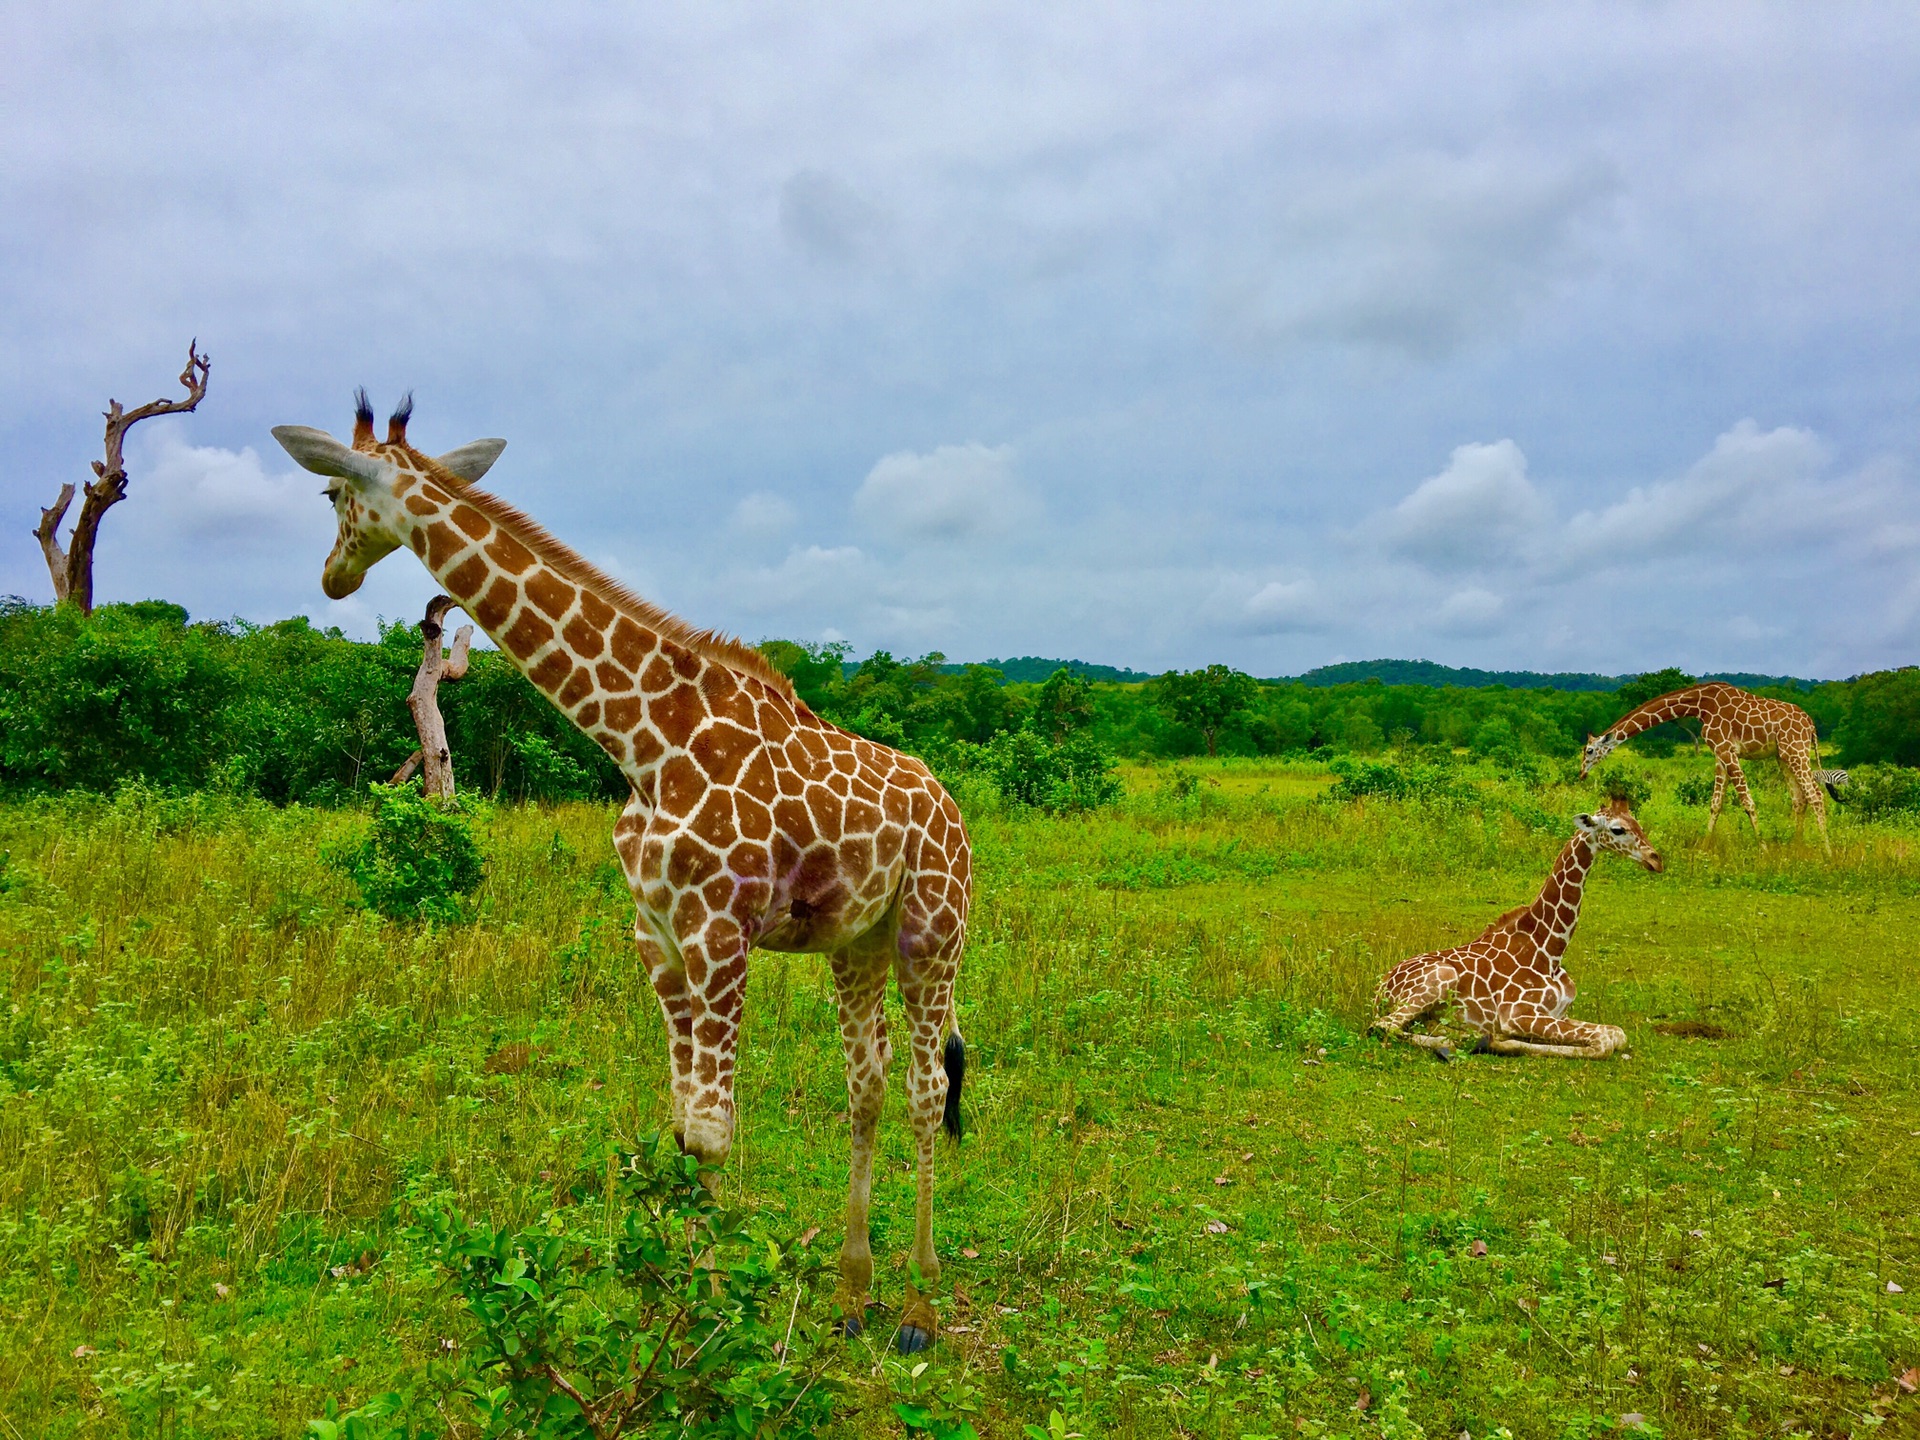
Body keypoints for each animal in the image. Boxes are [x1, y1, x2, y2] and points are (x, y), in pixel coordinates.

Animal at [270, 391, 967, 1351]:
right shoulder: (659, 938)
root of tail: (952, 805)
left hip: (933, 931)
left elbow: (713, 1132)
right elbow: (684, 1130)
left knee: (927, 1087)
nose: (332, 577)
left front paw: (714, 1328)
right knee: (865, 1083)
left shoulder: (721, 934)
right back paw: (854, 1293)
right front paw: (693, 1304)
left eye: (333, 493)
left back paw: (919, 1308)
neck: (643, 742)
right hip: (855, 940)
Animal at [1367, 806, 1666, 1067]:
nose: (1656, 859)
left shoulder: (1559, 1013)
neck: (1550, 949)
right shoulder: (1518, 1014)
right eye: (1617, 829)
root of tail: (1380, 988)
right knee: (1382, 1026)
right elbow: (1604, 1041)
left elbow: (1617, 1033)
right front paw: (1499, 1041)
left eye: (1637, 823)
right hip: (1440, 978)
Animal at [1582, 683, 1835, 852]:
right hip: (1782, 756)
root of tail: (1811, 725)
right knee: (1799, 799)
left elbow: (1747, 802)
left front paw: (1763, 850)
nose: (1581, 773)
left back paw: (1827, 852)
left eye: (1589, 751)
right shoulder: (1719, 754)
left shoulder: (1727, 750)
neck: (1699, 704)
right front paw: (1704, 846)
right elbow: (1715, 804)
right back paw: (1796, 848)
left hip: (1796, 750)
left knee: (1816, 794)